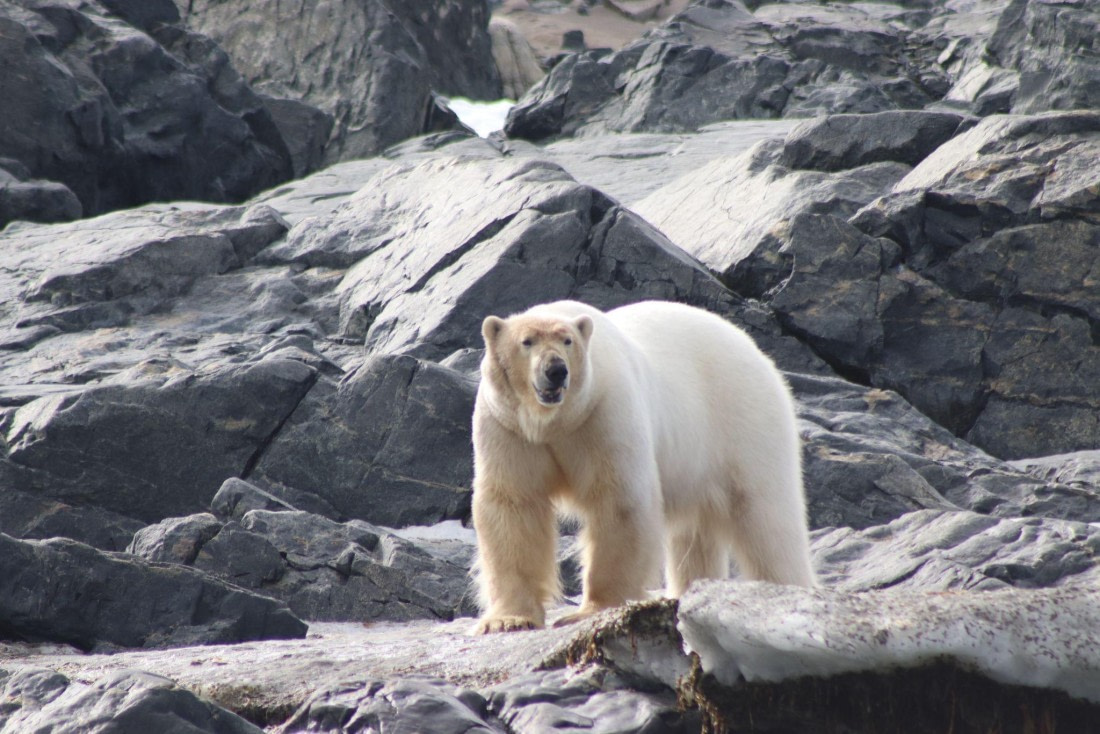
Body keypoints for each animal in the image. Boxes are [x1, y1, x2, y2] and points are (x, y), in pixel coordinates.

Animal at [471, 299, 815, 633]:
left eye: (567, 341)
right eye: (526, 341)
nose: (556, 370)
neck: (554, 422)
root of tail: (754, 349)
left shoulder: (604, 413)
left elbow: (620, 499)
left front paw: (592, 609)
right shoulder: (508, 427)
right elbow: (513, 505)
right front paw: (507, 620)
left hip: (745, 423)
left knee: (768, 519)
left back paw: (783, 591)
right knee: (695, 536)